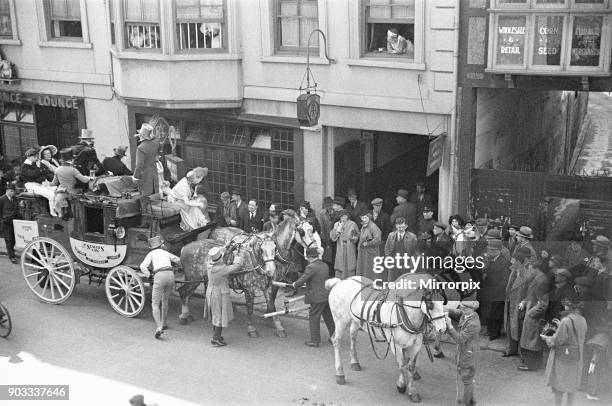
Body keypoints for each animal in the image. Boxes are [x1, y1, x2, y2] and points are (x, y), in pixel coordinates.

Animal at [328, 272, 448, 402]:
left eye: (443, 302)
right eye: (430, 305)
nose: (442, 328)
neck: (405, 311)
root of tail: (340, 282)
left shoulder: (416, 345)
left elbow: (410, 367)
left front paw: (412, 391)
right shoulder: (396, 345)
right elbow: (402, 366)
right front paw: (401, 385)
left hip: (356, 320)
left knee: (353, 336)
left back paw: (354, 362)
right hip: (340, 321)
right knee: (336, 341)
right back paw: (340, 374)